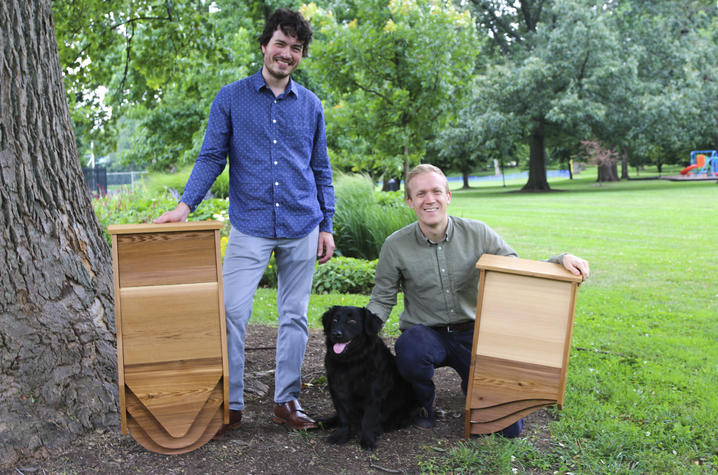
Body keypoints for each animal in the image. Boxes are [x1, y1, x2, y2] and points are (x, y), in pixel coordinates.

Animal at [320, 306, 416, 452]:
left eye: (352, 321)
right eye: (335, 320)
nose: (336, 334)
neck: (351, 362)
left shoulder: (374, 395)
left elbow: (368, 420)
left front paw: (367, 440)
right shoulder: (337, 392)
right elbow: (343, 417)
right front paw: (341, 435)